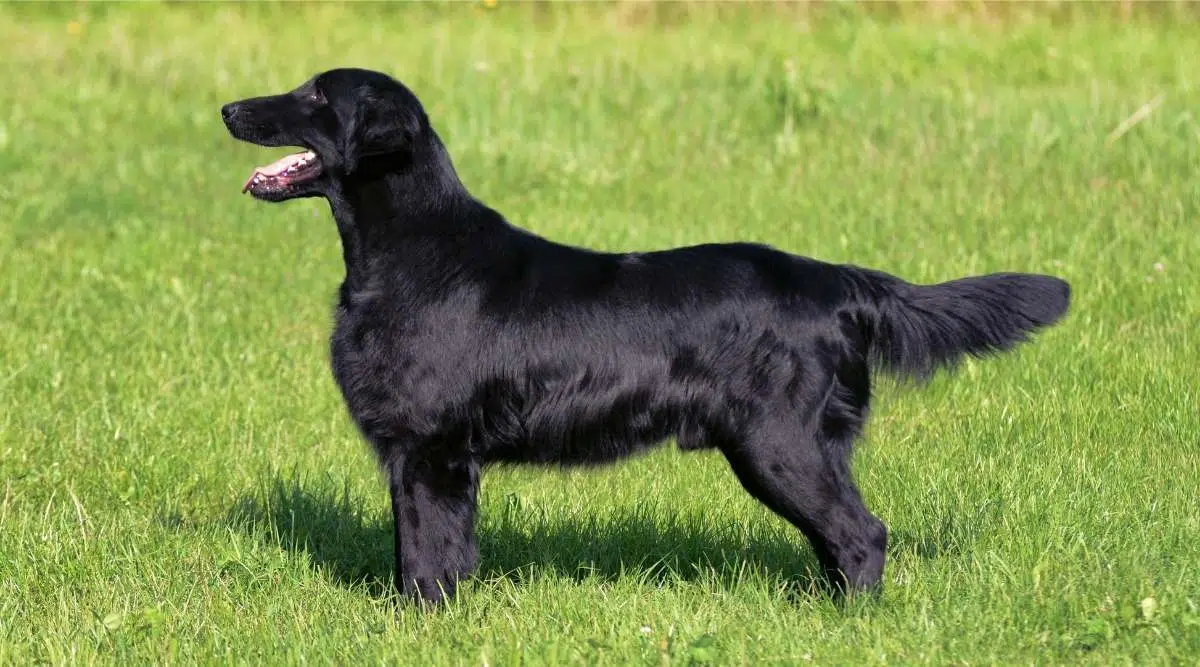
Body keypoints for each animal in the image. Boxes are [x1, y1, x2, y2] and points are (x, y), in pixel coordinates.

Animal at [220, 67, 1075, 604]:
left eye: (315, 94)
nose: (227, 109)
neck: (412, 251)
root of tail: (835, 280)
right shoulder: (422, 454)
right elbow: (427, 552)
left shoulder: (433, 449)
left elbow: (428, 560)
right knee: (842, 539)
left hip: (779, 443)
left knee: (863, 535)